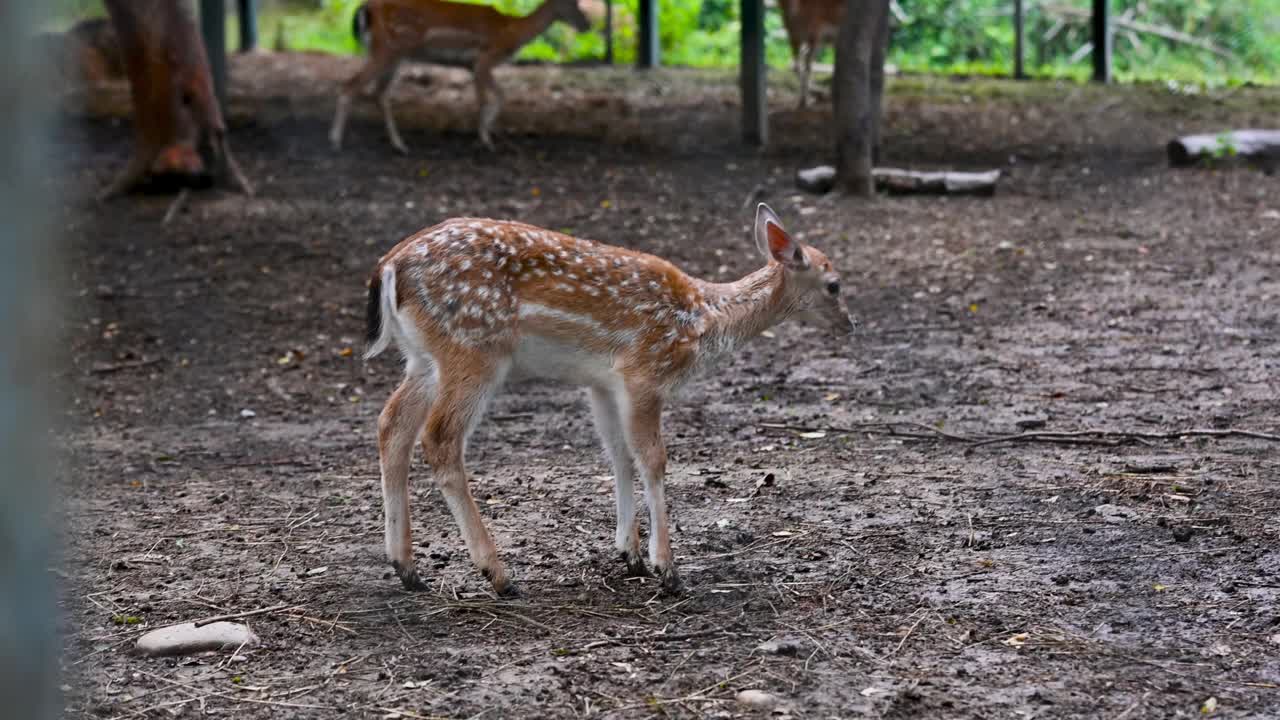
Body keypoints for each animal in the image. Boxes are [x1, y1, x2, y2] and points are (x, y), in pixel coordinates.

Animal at [330, 0, 588, 152]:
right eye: (573, 3)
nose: (587, 25)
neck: (513, 33)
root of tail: (365, 9)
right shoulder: (485, 58)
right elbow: (487, 98)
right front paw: (485, 140)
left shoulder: (472, 66)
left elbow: (499, 96)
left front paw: (489, 134)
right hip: (386, 49)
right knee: (349, 86)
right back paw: (336, 141)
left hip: (393, 55)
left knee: (378, 93)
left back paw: (399, 144)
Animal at [366, 203, 855, 594]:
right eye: (834, 284)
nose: (852, 325)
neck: (702, 321)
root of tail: (389, 267)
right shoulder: (645, 371)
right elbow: (652, 459)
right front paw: (667, 568)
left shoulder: (601, 383)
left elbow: (618, 455)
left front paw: (629, 554)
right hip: (474, 347)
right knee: (439, 437)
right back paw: (499, 575)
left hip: (424, 357)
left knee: (392, 423)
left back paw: (407, 569)